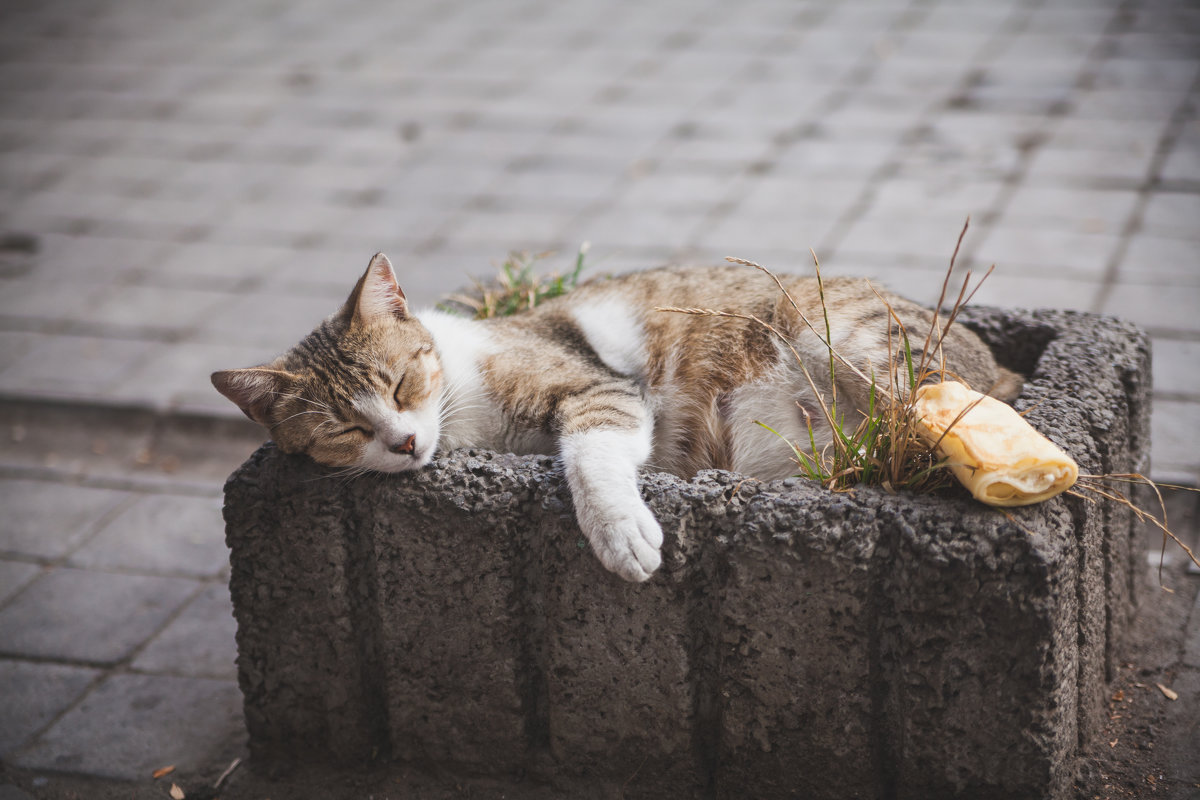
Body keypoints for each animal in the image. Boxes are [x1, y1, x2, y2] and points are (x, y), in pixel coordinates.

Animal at [216, 255, 1022, 582]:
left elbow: (590, 456)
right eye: (344, 430)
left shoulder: (599, 391)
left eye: (402, 380)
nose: (406, 440)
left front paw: (621, 535)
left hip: (853, 342)